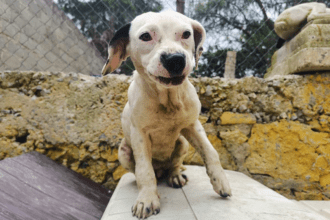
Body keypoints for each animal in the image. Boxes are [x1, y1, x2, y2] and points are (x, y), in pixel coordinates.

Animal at [102, 11, 231, 218]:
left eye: (186, 34)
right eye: (146, 36)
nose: (175, 59)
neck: (167, 99)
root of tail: (161, 169)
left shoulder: (193, 126)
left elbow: (210, 152)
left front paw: (221, 181)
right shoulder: (139, 135)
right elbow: (144, 170)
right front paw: (147, 199)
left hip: (183, 143)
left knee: (174, 164)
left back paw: (175, 175)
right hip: (124, 152)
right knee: (140, 171)